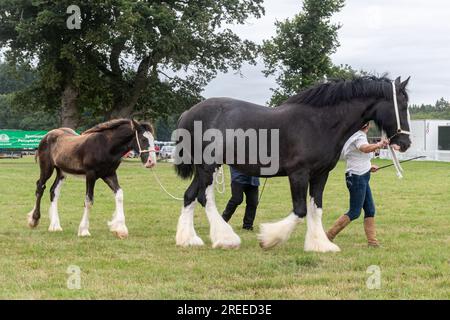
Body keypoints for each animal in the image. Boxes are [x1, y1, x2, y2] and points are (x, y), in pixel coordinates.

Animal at [27, 119, 156, 239]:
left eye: (153, 140)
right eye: (143, 139)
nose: (151, 162)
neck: (106, 145)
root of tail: (47, 135)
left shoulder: (109, 174)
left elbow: (119, 195)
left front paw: (120, 229)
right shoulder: (91, 175)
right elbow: (89, 200)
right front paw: (84, 230)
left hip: (62, 172)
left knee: (53, 191)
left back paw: (55, 226)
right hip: (46, 169)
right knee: (40, 187)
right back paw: (34, 220)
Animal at [175, 76, 412, 251]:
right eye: (402, 106)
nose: (405, 143)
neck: (320, 122)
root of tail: (187, 114)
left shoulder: (320, 174)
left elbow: (316, 208)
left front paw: (320, 245)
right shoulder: (298, 174)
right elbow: (300, 210)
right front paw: (268, 239)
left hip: (203, 169)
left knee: (189, 196)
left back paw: (188, 239)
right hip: (208, 167)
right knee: (204, 198)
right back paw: (225, 239)